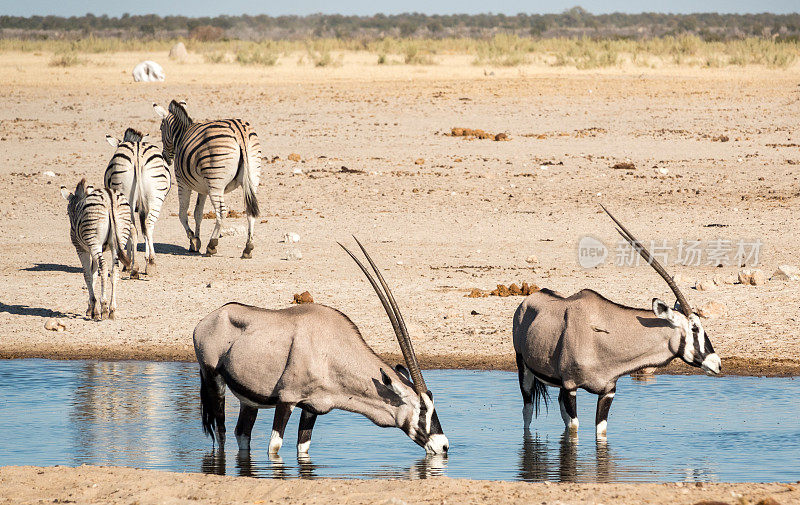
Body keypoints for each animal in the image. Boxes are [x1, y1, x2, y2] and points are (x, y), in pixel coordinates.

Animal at [60, 177, 134, 318]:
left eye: (67, 212)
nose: (72, 227)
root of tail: (109, 196)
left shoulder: (82, 249)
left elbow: (87, 275)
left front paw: (93, 308)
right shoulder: (93, 250)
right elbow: (94, 274)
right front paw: (92, 308)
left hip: (94, 241)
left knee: (104, 268)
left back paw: (104, 307)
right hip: (118, 241)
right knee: (114, 270)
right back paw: (112, 309)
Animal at [104, 128, 171, 274]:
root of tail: (137, 153)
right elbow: (144, 230)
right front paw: (144, 259)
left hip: (127, 196)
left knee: (137, 227)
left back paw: (136, 265)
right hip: (154, 197)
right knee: (147, 225)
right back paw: (148, 264)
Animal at [152, 100, 260, 258]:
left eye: (160, 128)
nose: (165, 157)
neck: (182, 135)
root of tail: (240, 131)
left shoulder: (182, 182)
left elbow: (182, 213)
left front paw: (193, 240)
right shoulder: (202, 189)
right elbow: (198, 213)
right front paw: (196, 240)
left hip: (216, 182)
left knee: (221, 212)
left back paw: (212, 245)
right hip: (252, 179)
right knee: (250, 211)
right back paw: (248, 248)